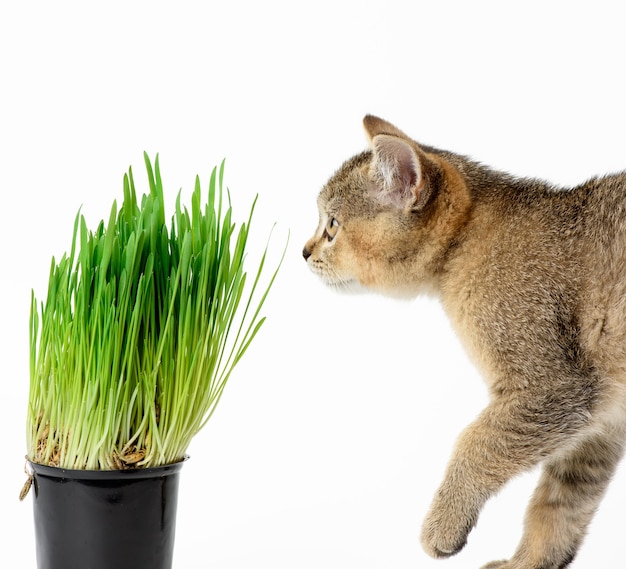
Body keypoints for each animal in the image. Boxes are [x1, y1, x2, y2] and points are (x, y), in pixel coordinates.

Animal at [302, 113, 624, 564]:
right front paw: (528, 562)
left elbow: (475, 444)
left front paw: (443, 524)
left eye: (331, 226)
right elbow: (559, 503)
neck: (466, 244)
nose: (304, 251)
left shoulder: (554, 388)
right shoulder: (601, 426)